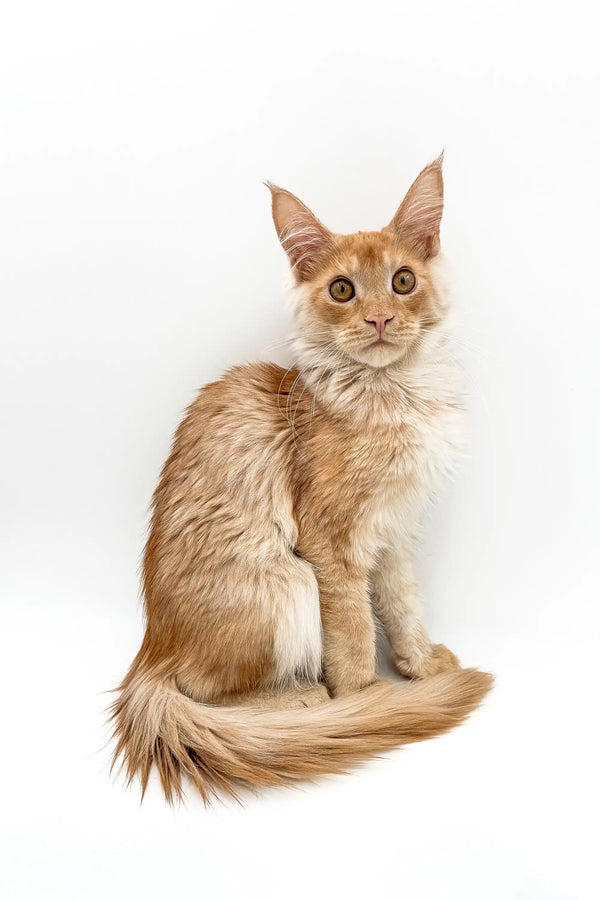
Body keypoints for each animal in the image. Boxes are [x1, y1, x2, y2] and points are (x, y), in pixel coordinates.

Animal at [111, 155, 492, 800]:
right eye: (342, 290)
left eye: (403, 281)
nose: (379, 318)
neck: (392, 395)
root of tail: (150, 652)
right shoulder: (331, 546)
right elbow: (355, 634)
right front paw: (365, 700)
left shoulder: (395, 534)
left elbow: (403, 607)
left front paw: (420, 666)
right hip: (287, 581)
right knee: (204, 692)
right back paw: (305, 702)